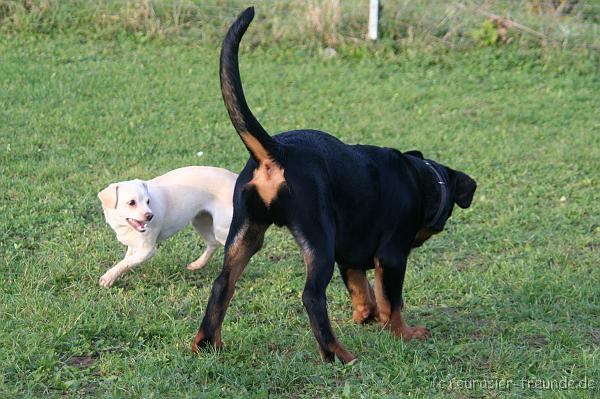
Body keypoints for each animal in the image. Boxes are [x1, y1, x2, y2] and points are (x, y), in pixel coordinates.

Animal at [97, 166, 236, 288]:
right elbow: (127, 260)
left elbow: (125, 262)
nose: (150, 216)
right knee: (213, 243)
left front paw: (108, 277)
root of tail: (235, 178)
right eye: (131, 202)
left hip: (222, 230)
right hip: (200, 222)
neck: (124, 226)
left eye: (148, 201)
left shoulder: (147, 250)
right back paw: (197, 264)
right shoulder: (133, 245)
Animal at [191, 7, 474, 366]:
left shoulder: (350, 255)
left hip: (246, 233)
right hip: (318, 239)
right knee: (312, 295)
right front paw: (403, 333)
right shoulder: (392, 256)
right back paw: (337, 354)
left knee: (221, 284)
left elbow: (362, 288)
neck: (420, 178)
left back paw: (205, 343)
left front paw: (367, 316)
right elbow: (393, 301)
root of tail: (276, 151)